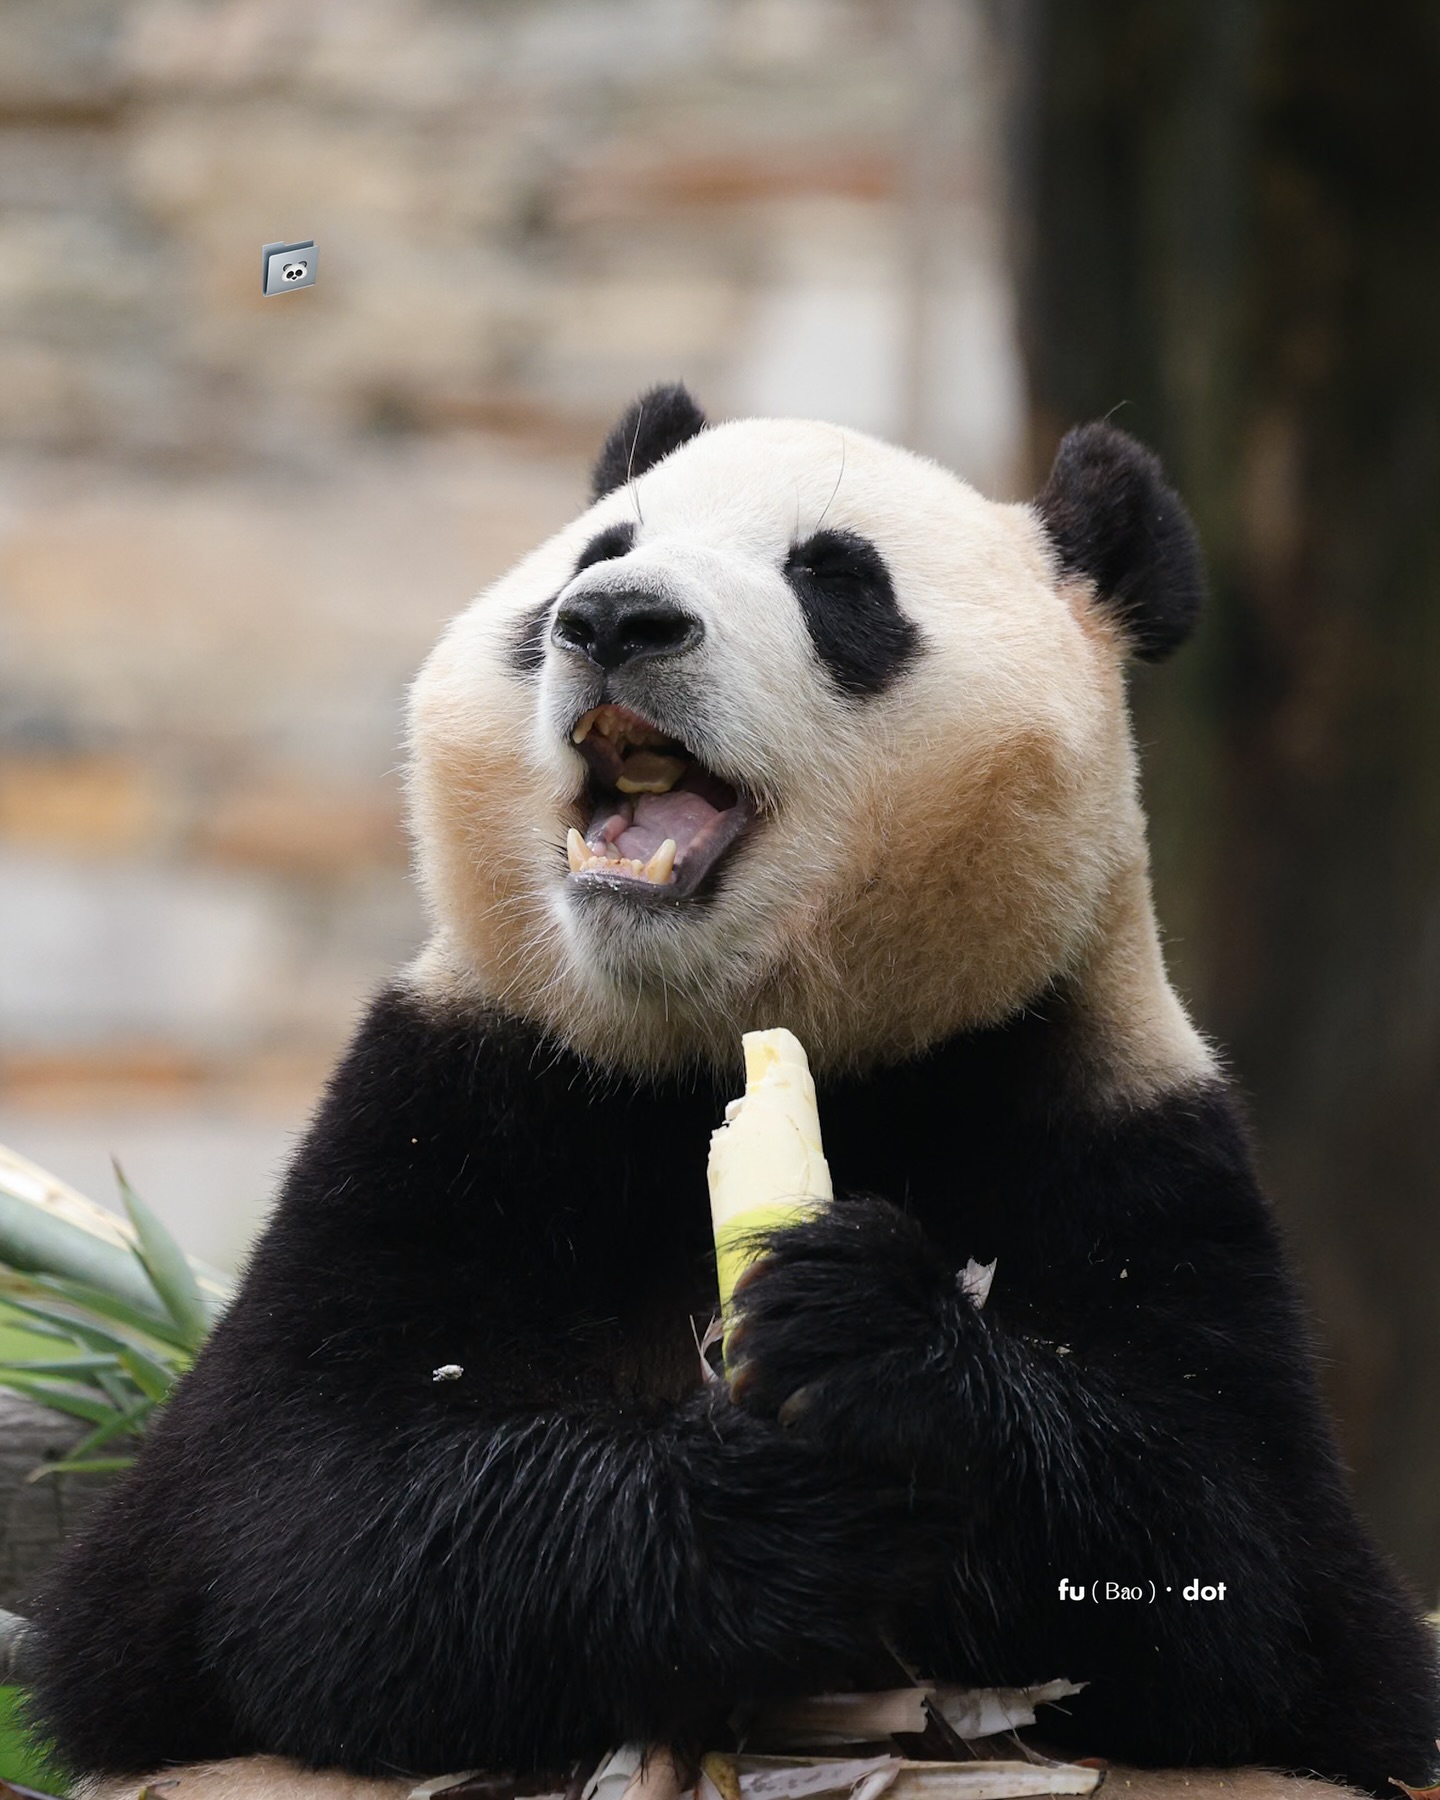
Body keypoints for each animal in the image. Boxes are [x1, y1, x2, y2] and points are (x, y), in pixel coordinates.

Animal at [25, 390, 1440, 1800]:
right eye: (597, 554)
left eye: (837, 579)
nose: (615, 620)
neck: (727, 1033)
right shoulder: (453, 1106)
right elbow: (280, 1526)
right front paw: (756, 1504)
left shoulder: (1118, 1136)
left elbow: (1256, 1578)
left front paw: (874, 1335)